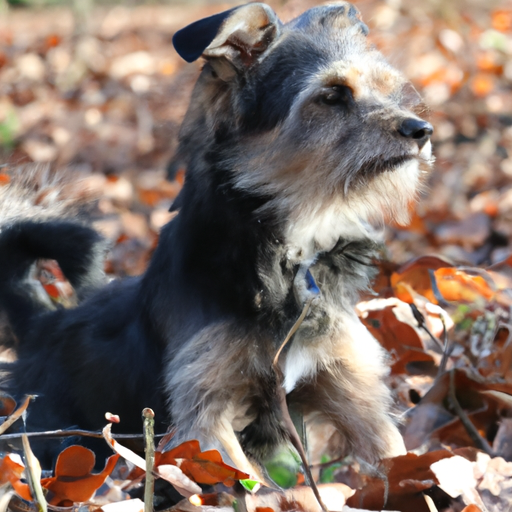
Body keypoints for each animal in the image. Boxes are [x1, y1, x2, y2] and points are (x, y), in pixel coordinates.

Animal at [0, 2, 432, 478]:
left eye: (386, 89)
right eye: (333, 95)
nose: (422, 130)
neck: (287, 254)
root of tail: (41, 324)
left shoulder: (352, 389)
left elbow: (398, 458)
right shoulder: (204, 415)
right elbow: (239, 479)